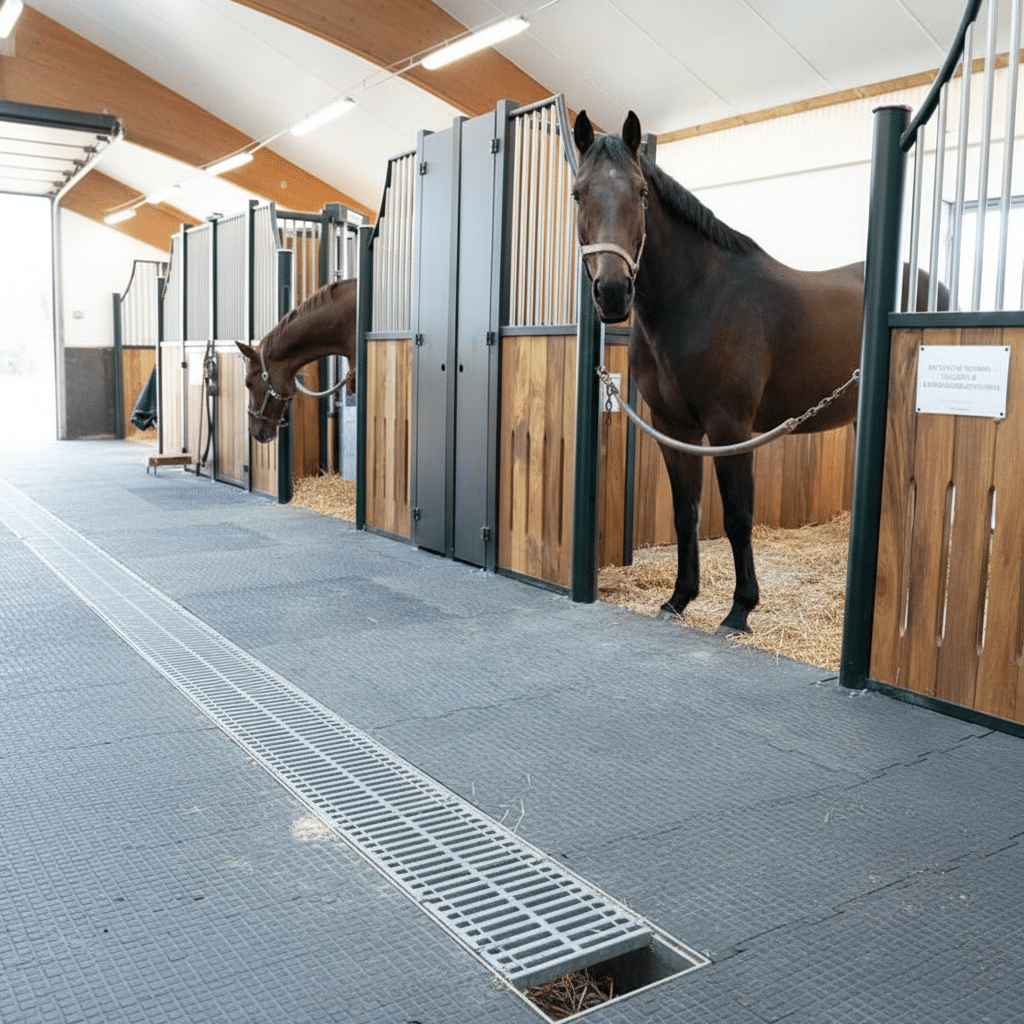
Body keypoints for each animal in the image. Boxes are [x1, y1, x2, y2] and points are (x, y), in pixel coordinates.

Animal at [572, 110, 936, 634]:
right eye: (578, 192)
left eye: (641, 191)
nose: (614, 292)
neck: (698, 299)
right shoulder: (673, 427)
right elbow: (686, 513)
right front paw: (679, 598)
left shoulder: (730, 427)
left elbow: (738, 516)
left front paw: (739, 610)